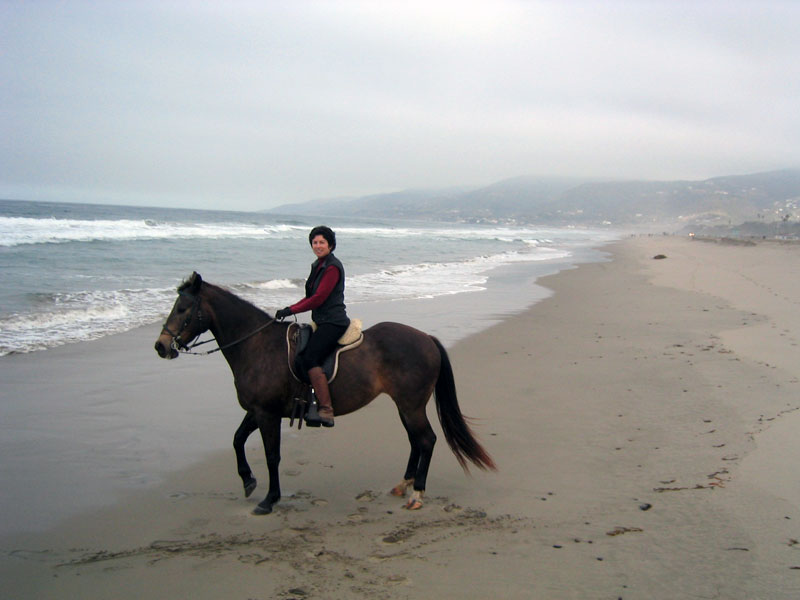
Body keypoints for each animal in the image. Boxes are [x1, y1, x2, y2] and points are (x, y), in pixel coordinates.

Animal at [153, 274, 496, 512]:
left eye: (182, 308)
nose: (160, 346)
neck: (257, 345)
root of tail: (426, 338)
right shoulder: (257, 410)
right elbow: (237, 440)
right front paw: (248, 481)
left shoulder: (266, 414)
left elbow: (272, 455)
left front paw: (269, 499)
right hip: (405, 405)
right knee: (416, 441)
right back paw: (404, 485)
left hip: (411, 406)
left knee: (427, 440)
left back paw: (417, 494)